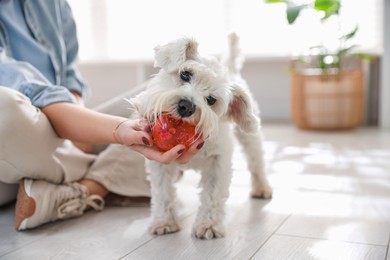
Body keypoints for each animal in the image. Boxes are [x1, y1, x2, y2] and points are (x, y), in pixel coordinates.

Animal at [131, 33, 272, 240]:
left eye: (211, 100)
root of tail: (230, 67)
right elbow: (163, 192)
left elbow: (212, 194)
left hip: (250, 139)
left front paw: (209, 225)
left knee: (256, 163)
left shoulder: (218, 161)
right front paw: (164, 222)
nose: (186, 106)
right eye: (185, 74)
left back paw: (261, 188)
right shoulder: (159, 164)